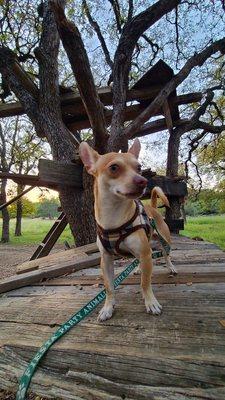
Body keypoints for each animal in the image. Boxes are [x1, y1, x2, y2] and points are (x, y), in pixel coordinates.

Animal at [80, 138, 177, 322]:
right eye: (114, 168)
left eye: (139, 168)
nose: (143, 181)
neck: (114, 217)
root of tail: (152, 207)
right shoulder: (106, 259)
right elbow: (109, 287)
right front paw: (108, 307)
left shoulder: (146, 254)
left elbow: (145, 283)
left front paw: (151, 302)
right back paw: (138, 268)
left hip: (164, 238)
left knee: (166, 253)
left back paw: (171, 267)